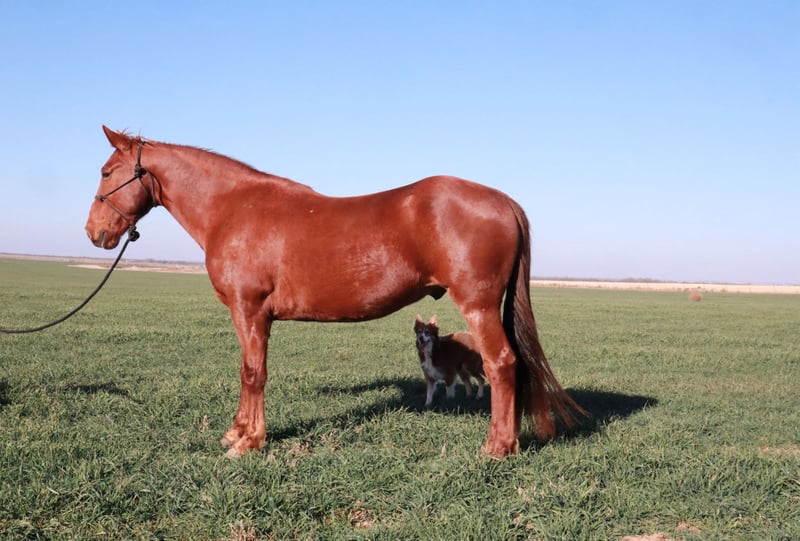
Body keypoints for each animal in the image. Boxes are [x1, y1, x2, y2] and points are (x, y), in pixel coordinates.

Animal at [85, 126, 585, 458]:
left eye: (107, 172)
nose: (94, 233)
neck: (234, 209)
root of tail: (503, 201)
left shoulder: (250, 310)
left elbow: (253, 372)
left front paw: (248, 442)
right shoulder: (248, 315)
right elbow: (247, 371)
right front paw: (237, 431)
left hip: (478, 305)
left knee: (501, 365)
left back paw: (496, 447)